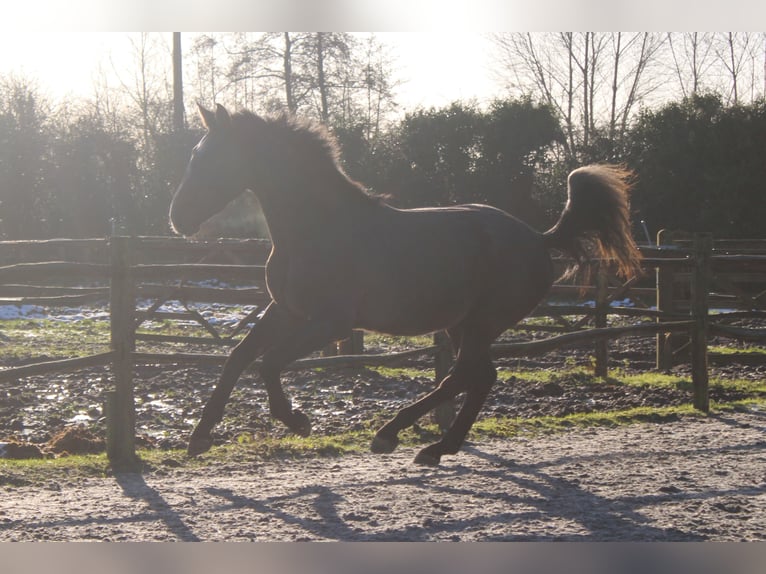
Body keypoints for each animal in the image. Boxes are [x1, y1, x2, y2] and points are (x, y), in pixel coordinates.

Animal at [171, 104, 644, 468]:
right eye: (194, 154)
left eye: (212, 158)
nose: (177, 217)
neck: (318, 229)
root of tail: (539, 238)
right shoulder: (285, 310)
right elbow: (237, 357)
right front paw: (199, 436)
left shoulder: (330, 323)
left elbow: (267, 364)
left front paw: (298, 421)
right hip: (462, 325)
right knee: (479, 377)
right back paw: (437, 447)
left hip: (482, 323)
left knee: (462, 377)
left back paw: (394, 434)